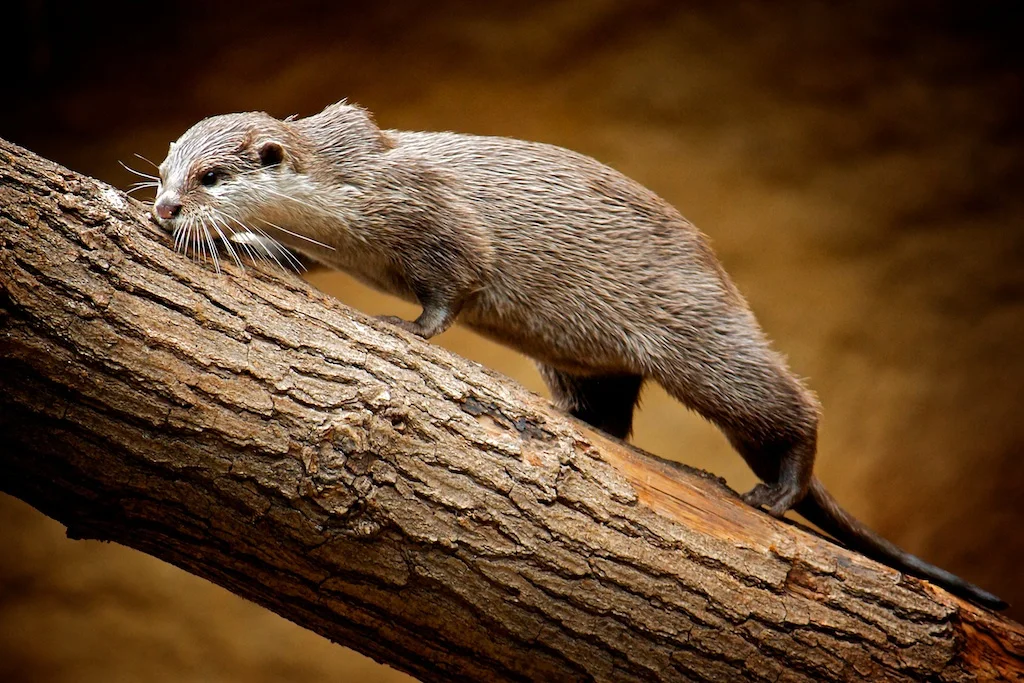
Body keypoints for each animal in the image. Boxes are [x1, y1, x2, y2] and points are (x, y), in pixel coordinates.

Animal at [152, 100, 1005, 609]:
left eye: (210, 175)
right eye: (164, 171)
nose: (163, 207)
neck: (351, 186)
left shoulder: (440, 219)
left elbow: (455, 283)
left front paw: (412, 328)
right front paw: (251, 246)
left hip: (705, 341)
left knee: (792, 407)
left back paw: (776, 492)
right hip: (590, 362)